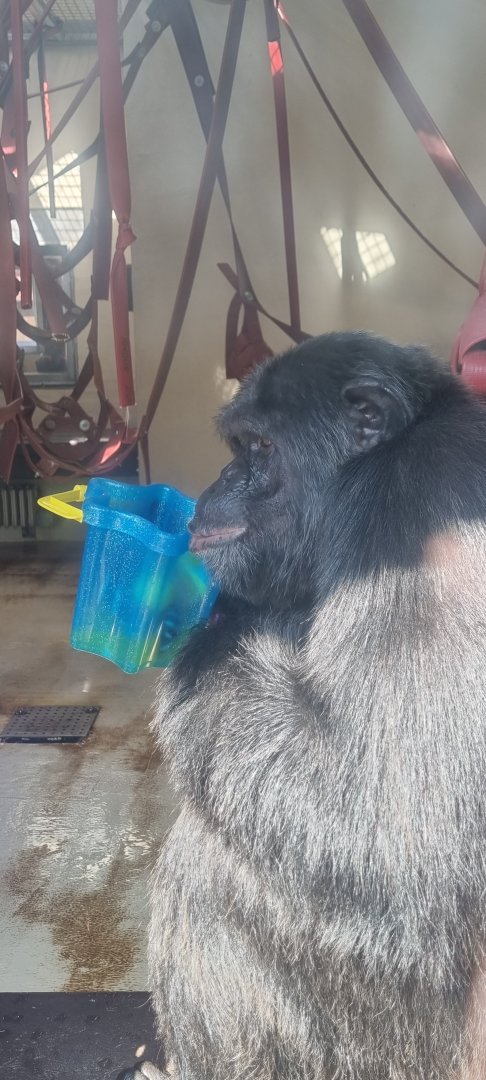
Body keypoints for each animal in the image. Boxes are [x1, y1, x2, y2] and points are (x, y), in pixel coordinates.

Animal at [141, 332, 486, 1080]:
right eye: (237, 445)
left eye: (259, 449)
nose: (220, 481)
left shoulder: (419, 514)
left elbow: (384, 828)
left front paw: (215, 628)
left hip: (397, 1043)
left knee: (209, 871)